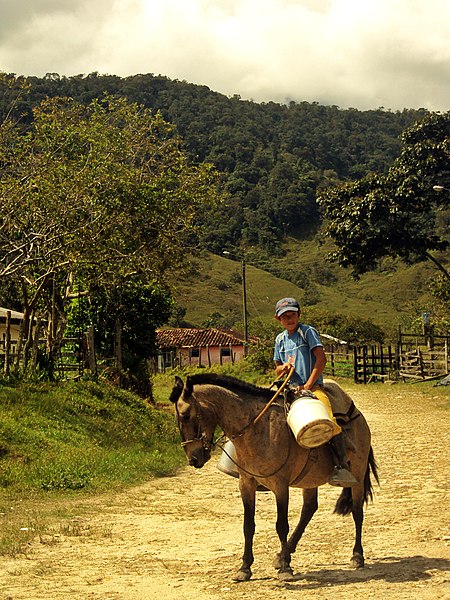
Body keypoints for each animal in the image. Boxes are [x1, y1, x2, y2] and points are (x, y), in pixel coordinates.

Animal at [171, 372, 378, 584]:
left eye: (186, 414)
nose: (193, 458)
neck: (261, 429)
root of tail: (359, 416)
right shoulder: (246, 484)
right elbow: (248, 526)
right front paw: (245, 568)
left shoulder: (280, 485)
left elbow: (281, 525)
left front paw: (286, 569)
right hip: (310, 479)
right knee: (309, 509)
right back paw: (282, 554)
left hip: (358, 473)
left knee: (357, 511)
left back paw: (357, 556)